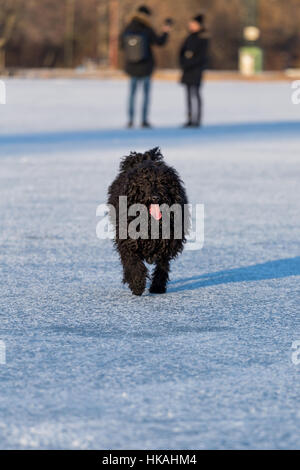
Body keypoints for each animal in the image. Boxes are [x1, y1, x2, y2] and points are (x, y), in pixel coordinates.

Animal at [107, 148, 188, 294]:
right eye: (145, 183)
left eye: (163, 182)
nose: (155, 197)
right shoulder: (127, 241)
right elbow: (132, 262)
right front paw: (137, 284)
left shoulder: (167, 243)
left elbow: (162, 265)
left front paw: (158, 286)